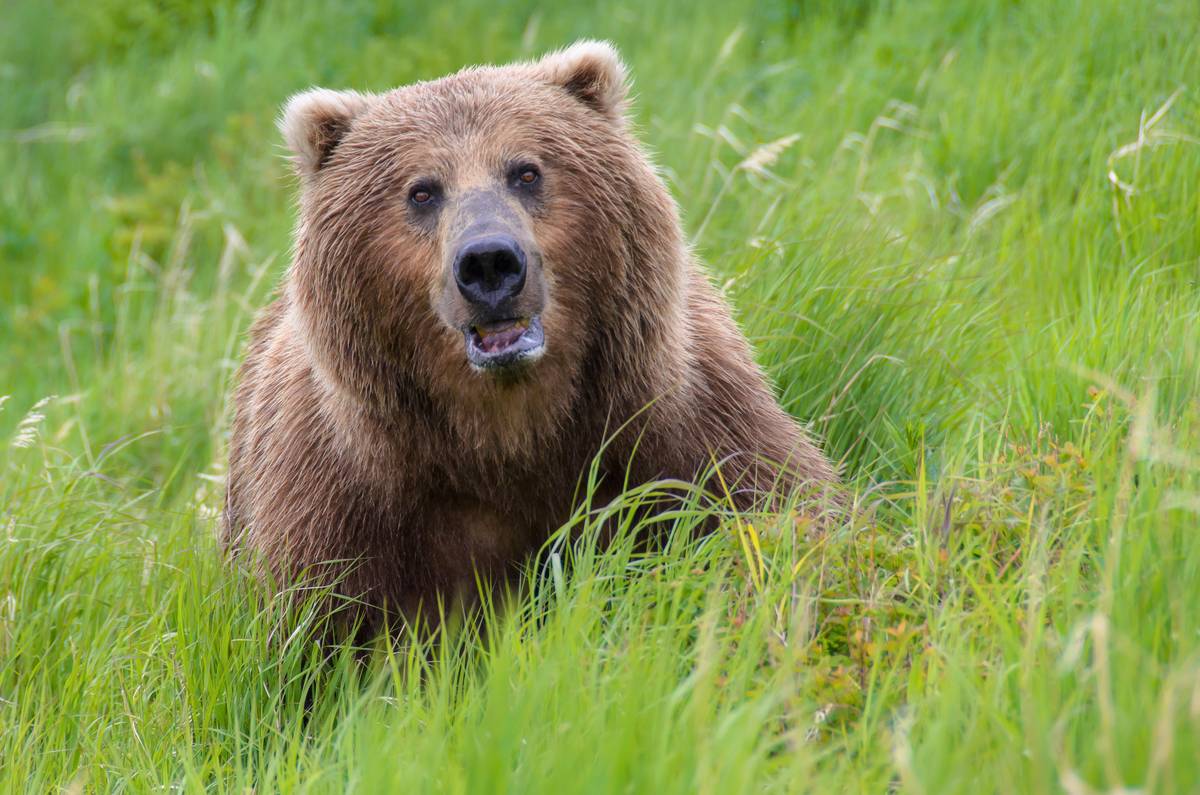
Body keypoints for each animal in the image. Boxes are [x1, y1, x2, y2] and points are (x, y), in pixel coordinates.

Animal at [222, 41, 837, 632]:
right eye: (422, 191)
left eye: (525, 171)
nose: (489, 262)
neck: (514, 432)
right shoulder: (341, 501)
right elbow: (318, 633)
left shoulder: (687, 429)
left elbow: (779, 517)